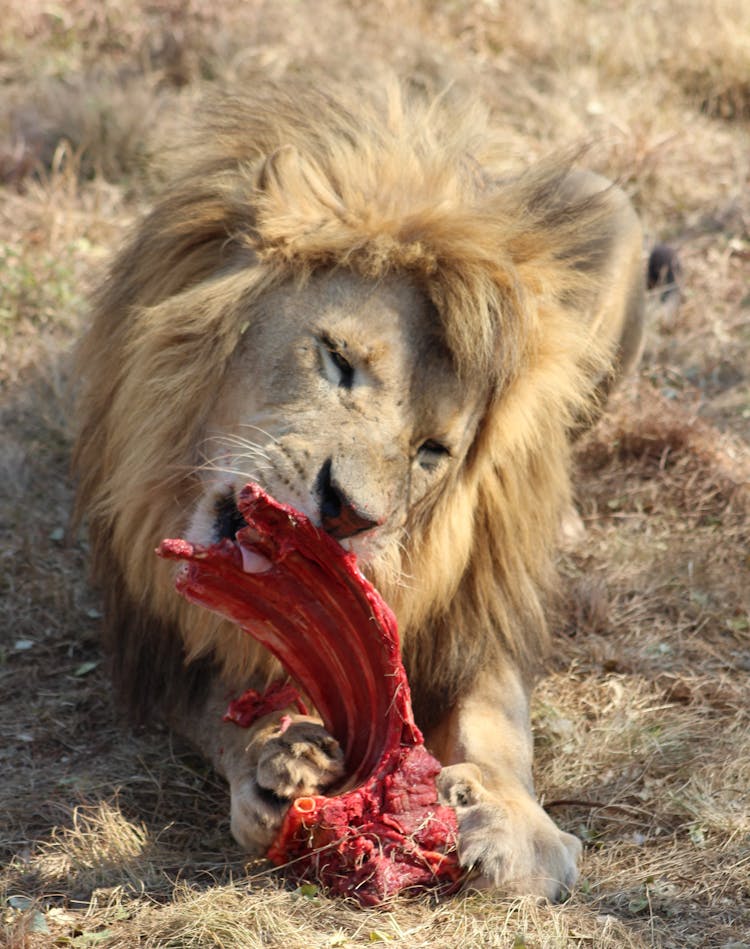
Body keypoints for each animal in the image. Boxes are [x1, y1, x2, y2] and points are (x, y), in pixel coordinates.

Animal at [72, 78, 648, 900]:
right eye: (339, 360)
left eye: (432, 452)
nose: (349, 513)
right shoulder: (159, 637)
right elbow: (221, 707)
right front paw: (277, 757)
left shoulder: (471, 612)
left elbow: (498, 718)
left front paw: (516, 824)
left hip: (608, 209)